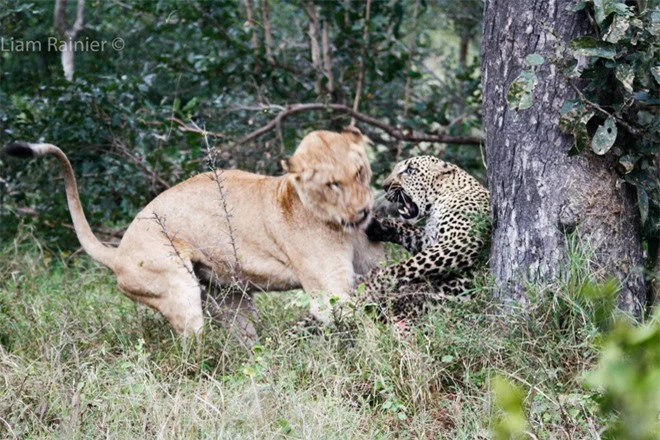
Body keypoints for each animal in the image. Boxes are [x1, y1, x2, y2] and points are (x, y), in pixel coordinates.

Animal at [356, 155, 490, 324]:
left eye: (409, 170)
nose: (384, 186)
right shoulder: (429, 240)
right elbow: (407, 230)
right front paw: (377, 224)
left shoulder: (462, 242)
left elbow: (403, 267)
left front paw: (371, 286)